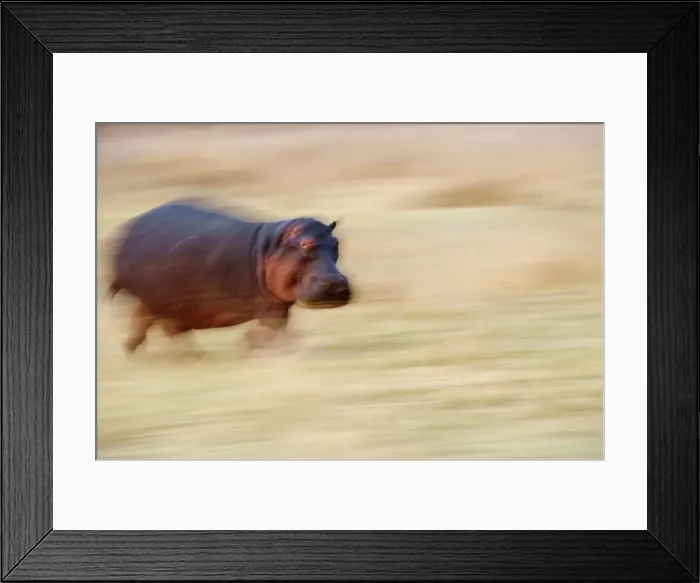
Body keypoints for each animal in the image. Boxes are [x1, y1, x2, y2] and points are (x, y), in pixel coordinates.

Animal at [106, 200, 352, 356]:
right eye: (305, 244)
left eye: (336, 243)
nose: (337, 284)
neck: (270, 246)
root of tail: (127, 229)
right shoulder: (269, 308)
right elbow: (276, 331)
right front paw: (253, 346)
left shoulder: (276, 306)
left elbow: (274, 331)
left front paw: (250, 344)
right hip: (156, 301)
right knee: (157, 328)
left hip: (160, 304)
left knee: (151, 328)